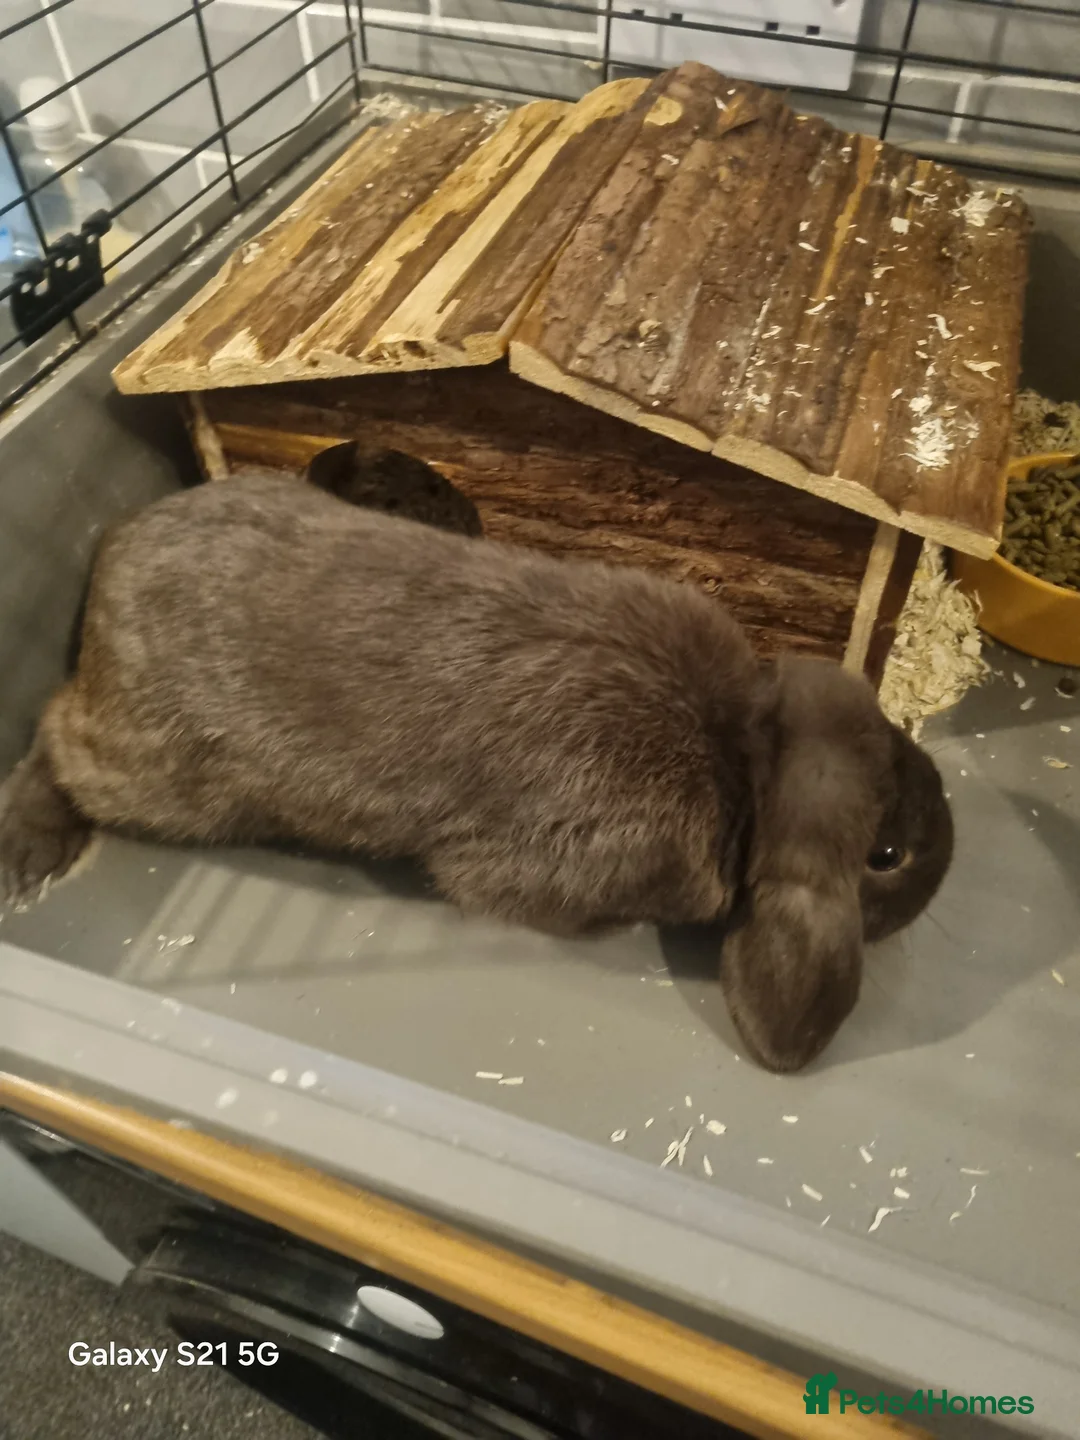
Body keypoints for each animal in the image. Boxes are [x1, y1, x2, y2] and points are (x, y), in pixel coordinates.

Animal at [0, 466, 953, 1072]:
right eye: (887, 858)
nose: (947, 830)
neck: (740, 755)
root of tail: (112, 555)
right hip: (161, 775)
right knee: (52, 730)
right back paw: (31, 851)